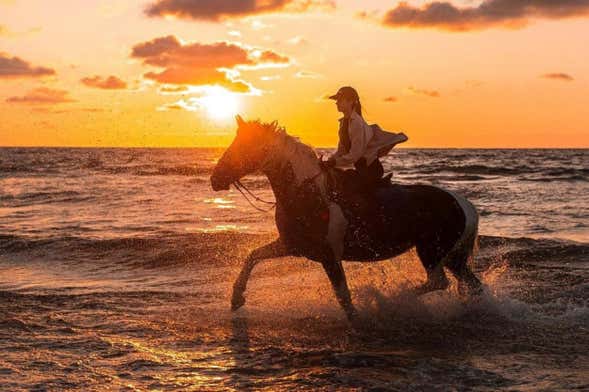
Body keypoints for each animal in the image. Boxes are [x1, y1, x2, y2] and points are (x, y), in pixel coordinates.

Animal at [211, 114, 482, 322]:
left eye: (242, 146)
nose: (215, 179)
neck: (308, 193)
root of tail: (464, 204)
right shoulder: (292, 246)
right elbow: (253, 256)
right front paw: (236, 299)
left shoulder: (329, 256)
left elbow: (343, 295)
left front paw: (357, 316)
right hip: (451, 256)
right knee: (471, 284)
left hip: (431, 252)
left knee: (438, 282)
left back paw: (391, 300)